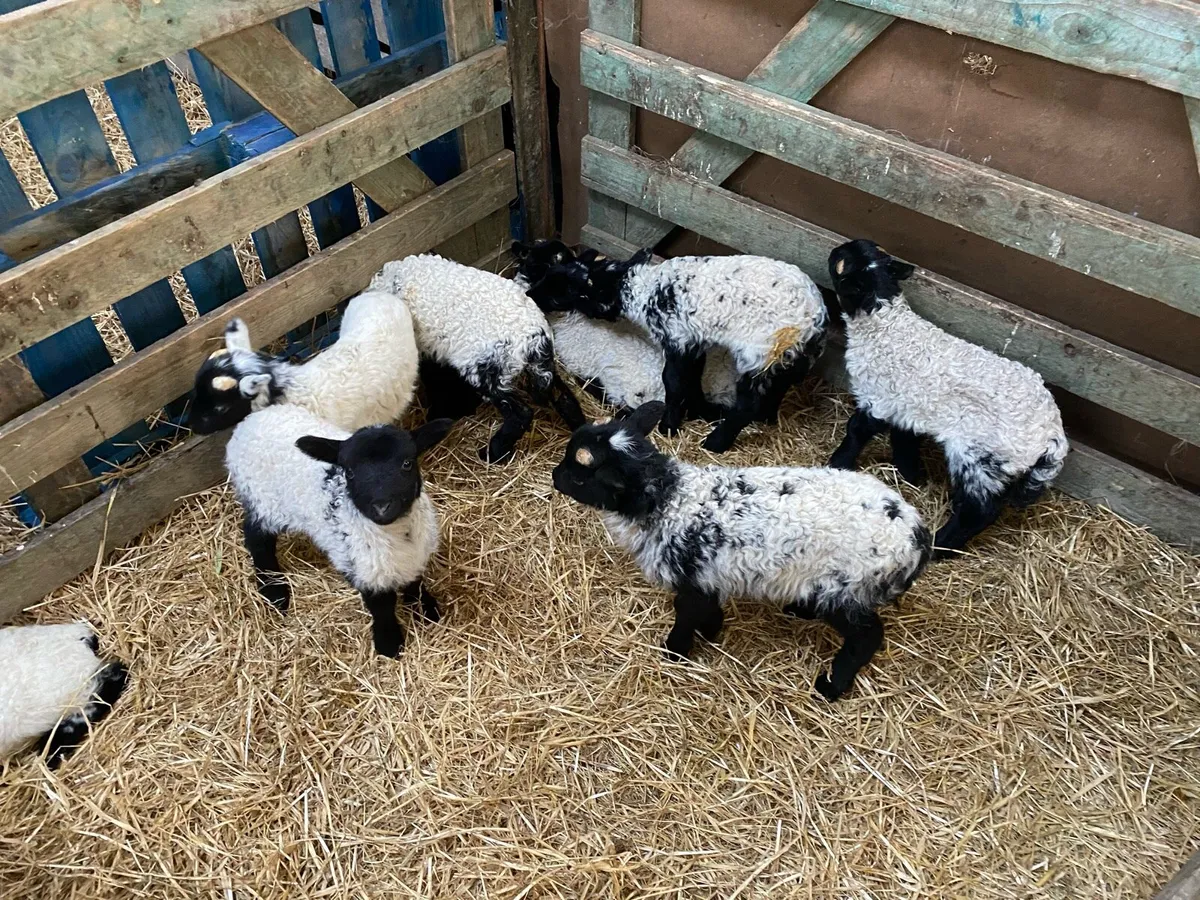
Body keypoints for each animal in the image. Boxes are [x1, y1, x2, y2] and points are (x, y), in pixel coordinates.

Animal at [225, 403, 455, 657]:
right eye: (349, 472)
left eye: (407, 463)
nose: (382, 507)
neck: (397, 533)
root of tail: (252, 419)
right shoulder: (363, 567)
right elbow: (381, 607)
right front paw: (389, 643)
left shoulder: (415, 556)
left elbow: (415, 582)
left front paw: (426, 610)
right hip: (264, 500)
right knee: (256, 537)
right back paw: (274, 590)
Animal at [370, 254, 585, 463]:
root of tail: (535, 338)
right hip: (542, 365)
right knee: (565, 398)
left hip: (486, 369)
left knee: (520, 414)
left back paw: (492, 453)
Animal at [528, 248, 829, 452]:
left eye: (562, 295)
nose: (531, 294)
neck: (642, 291)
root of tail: (812, 320)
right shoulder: (694, 340)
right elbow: (692, 379)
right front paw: (692, 410)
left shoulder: (677, 337)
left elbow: (673, 382)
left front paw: (669, 425)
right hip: (791, 359)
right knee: (780, 386)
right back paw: (767, 417)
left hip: (759, 352)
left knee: (747, 405)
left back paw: (716, 442)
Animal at [552, 402, 932, 701]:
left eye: (581, 475)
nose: (555, 476)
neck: (668, 501)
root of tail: (917, 536)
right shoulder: (707, 575)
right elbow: (708, 610)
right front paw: (711, 633)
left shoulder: (691, 577)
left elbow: (687, 614)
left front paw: (675, 653)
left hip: (847, 588)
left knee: (866, 638)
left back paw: (830, 687)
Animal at [827, 239, 1069, 558]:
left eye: (840, 263)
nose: (833, 251)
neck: (886, 325)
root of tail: (1052, 432)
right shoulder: (905, 404)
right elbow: (904, 440)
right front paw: (911, 475)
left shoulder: (877, 397)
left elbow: (857, 430)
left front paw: (838, 462)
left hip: (980, 457)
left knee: (980, 511)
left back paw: (940, 546)